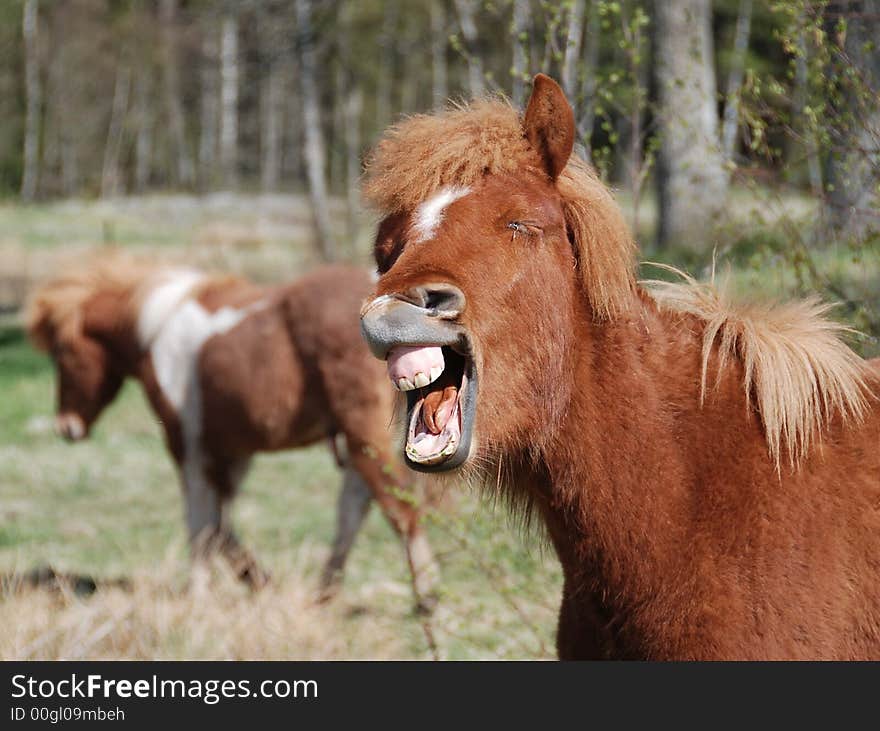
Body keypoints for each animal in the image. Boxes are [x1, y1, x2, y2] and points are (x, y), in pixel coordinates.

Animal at [25, 258, 438, 612]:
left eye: (62, 352)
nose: (66, 426)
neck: (158, 330)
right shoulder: (233, 451)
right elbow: (221, 524)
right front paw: (258, 581)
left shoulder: (187, 448)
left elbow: (201, 522)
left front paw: (198, 596)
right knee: (354, 511)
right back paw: (324, 594)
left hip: (364, 438)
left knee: (397, 509)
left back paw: (426, 599)